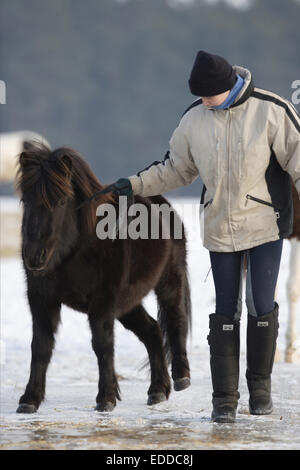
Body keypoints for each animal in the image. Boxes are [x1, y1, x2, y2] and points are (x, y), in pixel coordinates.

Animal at [15, 141, 192, 414]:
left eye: (61, 201)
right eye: (26, 199)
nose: (35, 257)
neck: (76, 249)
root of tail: (162, 203)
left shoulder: (103, 302)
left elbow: (102, 345)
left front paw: (106, 397)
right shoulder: (42, 299)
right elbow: (40, 346)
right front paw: (29, 399)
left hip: (169, 282)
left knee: (175, 320)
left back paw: (181, 376)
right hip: (128, 304)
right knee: (152, 331)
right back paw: (157, 390)